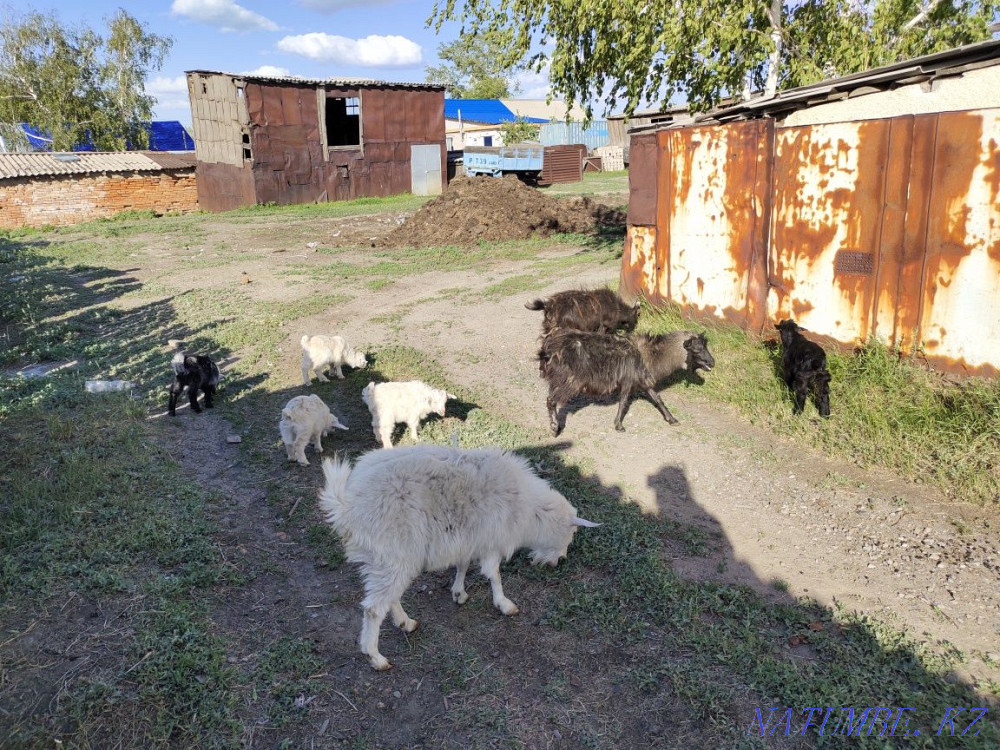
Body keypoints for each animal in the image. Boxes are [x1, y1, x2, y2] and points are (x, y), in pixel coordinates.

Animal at [319, 445, 599, 670]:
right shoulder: (491, 540)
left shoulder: (470, 537)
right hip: (392, 554)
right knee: (374, 609)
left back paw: (405, 623)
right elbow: (494, 575)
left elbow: (463, 565)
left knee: (388, 597)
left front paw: (459, 593)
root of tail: (346, 507)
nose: (558, 561)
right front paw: (504, 604)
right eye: (571, 533)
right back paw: (376, 657)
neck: (529, 509)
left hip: (386, 559)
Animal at [538, 331, 715, 435]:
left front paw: (671, 419)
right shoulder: (628, 381)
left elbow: (658, 399)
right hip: (570, 380)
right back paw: (554, 427)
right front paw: (618, 425)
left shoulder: (644, 381)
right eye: (696, 349)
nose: (712, 363)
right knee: (550, 400)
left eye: (705, 346)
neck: (652, 355)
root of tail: (548, 348)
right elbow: (623, 402)